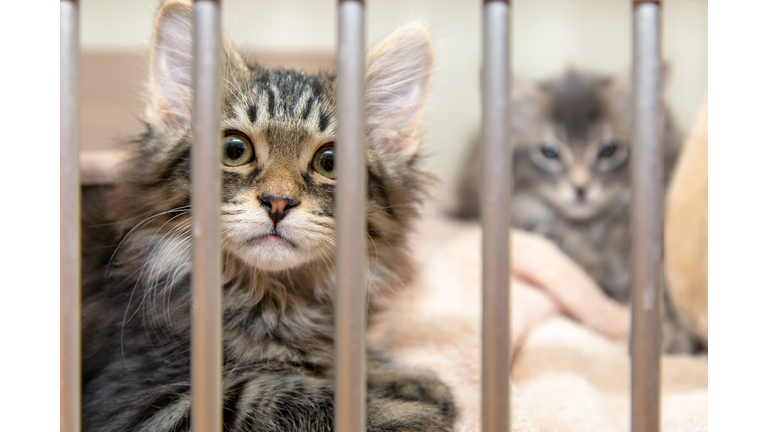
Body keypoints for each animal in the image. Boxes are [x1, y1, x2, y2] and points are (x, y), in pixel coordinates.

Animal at [82, 1, 456, 430]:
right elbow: (285, 394)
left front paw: (400, 376)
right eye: (234, 151)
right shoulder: (139, 400)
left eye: (329, 163)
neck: (275, 299)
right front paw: (397, 411)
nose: (278, 202)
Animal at [452, 70, 692, 352]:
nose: (580, 187)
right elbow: (596, 285)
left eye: (608, 150)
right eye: (550, 152)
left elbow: (657, 293)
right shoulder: (549, 234)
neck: (592, 228)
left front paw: (672, 331)